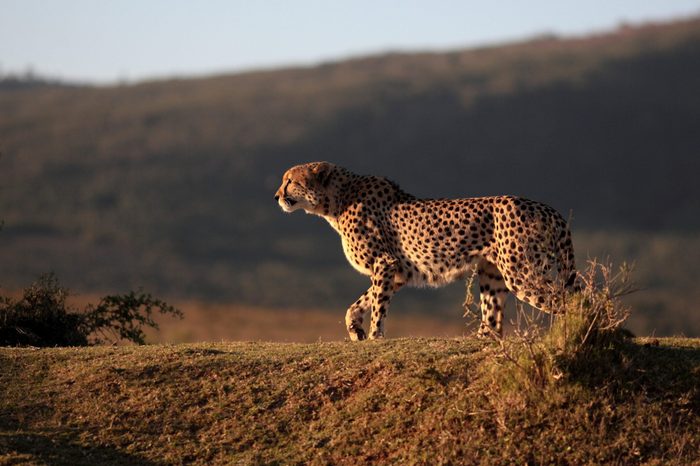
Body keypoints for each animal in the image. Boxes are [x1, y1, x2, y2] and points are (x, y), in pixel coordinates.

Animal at [274, 162, 576, 340]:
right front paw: (355, 330)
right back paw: (482, 338)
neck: (336, 201)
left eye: (290, 181)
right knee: (494, 317)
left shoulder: (385, 263)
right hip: (494, 274)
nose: (277, 196)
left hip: (521, 273)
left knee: (569, 299)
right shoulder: (395, 272)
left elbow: (378, 305)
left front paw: (374, 336)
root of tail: (545, 207)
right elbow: (359, 303)